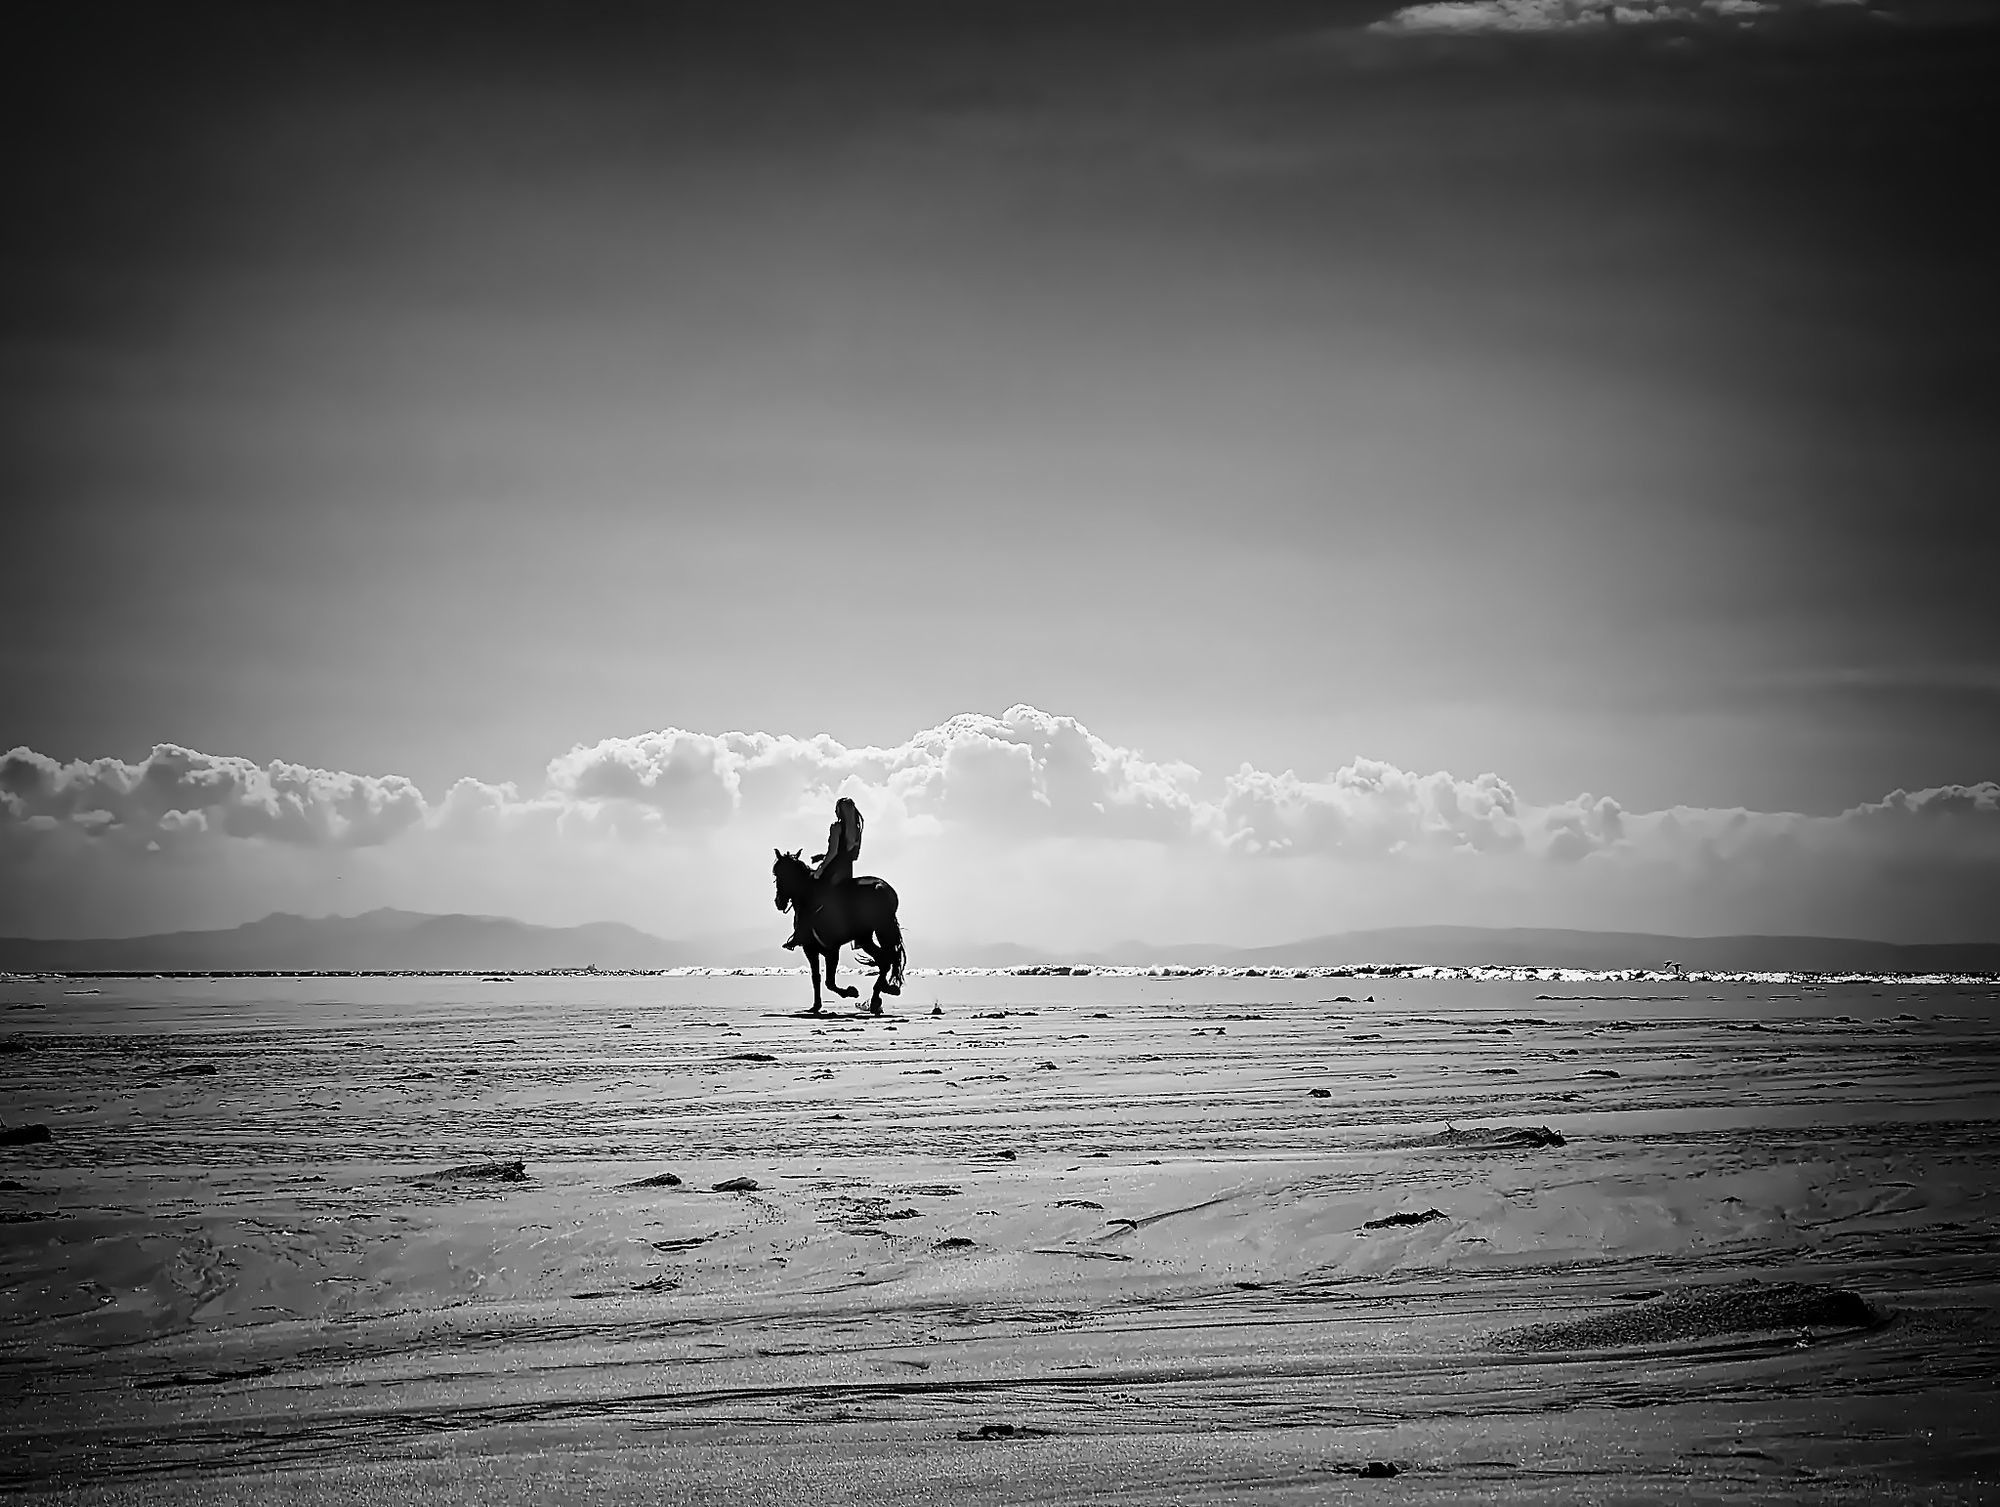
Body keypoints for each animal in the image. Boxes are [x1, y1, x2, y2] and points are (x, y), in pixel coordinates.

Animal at [772, 847, 908, 1011]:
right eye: (776, 873)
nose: (779, 902)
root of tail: (882, 887)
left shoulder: (830, 949)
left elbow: (829, 982)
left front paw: (850, 992)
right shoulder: (811, 948)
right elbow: (816, 977)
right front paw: (816, 1005)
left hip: (876, 931)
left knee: (886, 959)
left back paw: (877, 996)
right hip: (868, 936)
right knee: (885, 959)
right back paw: (880, 995)